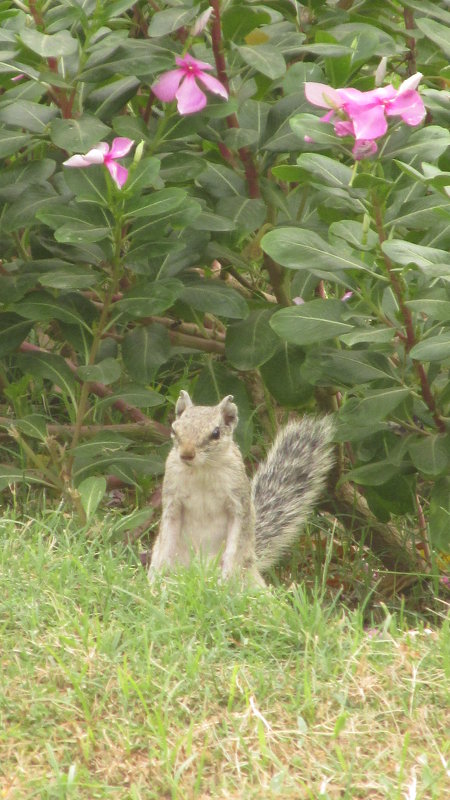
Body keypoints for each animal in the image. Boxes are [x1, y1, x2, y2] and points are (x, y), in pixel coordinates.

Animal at [149, 390, 336, 584]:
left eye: (215, 433)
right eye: (174, 429)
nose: (186, 454)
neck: (202, 469)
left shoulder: (237, 502)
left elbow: (235, 540)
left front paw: (225, 577)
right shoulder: (172, 500)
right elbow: (168, 537)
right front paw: (157, 578)